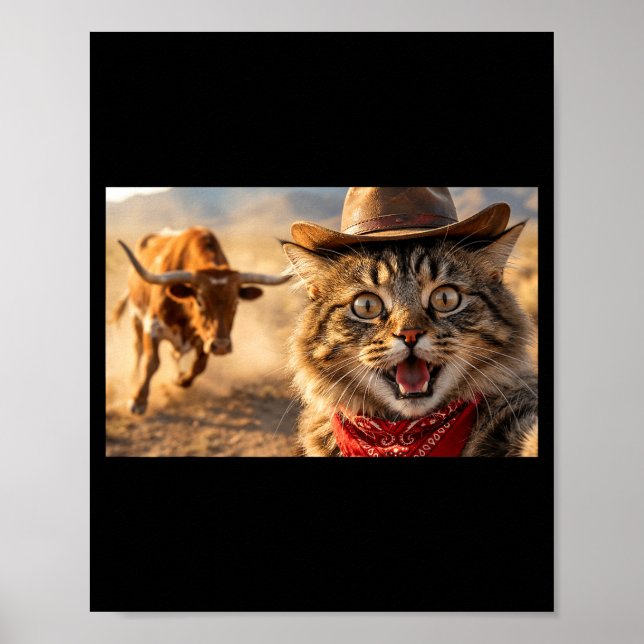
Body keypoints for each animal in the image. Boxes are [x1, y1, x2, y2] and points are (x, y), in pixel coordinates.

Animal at [111, 226, 290, 414]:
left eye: (236, 302)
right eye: (199, 301)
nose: (221, 346)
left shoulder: (205, 337)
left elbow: (199, 365)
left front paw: (180, 379)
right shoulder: (152, 326)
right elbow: (151, 362)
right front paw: (138, 400)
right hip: (135, 317)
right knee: (138, 349)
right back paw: (133, 378)